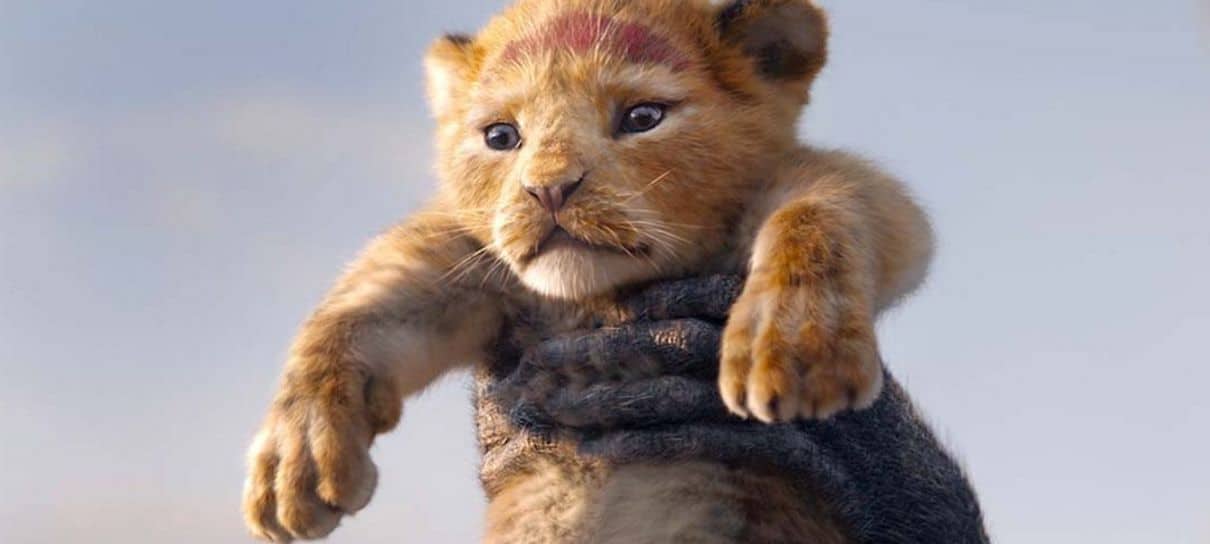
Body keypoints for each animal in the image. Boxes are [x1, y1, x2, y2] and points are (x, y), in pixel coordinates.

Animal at [242, 0, 936, 541]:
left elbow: (820, 209)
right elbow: (359, 307)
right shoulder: (473, 264)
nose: (549, 190)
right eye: (501, 136)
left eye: (642, 118)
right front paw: (294, 461)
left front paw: (792, 345)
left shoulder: (843, 195)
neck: (596, 300)